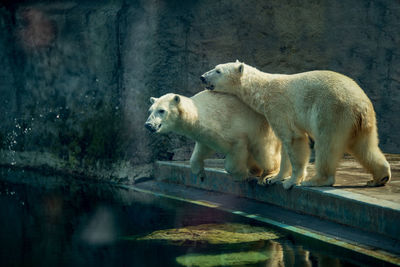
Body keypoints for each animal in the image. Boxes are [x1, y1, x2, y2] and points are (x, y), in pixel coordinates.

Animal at [145, 91, 282, 183]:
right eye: (150, 110)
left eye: (161, 110)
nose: (148, 124)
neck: (200, 113)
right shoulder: (204, 134)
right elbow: (203, 149)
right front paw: (200, 174)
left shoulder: (231, 128)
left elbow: (236, 148)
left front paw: (242, 175)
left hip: (263, 127)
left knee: (263, 150)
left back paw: (267, 174)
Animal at [200, 61, 390, 191]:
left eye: (218, 70)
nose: (202, 77)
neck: (262, 89)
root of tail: (360, 104)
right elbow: (285, 146)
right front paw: (274, 178)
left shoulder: (278, 107)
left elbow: (293, 138)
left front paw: (291, 181)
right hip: (364, 122)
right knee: (365, 146)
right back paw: (379, 178)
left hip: (332, 111)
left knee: (326, 145)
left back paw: (315, 180)